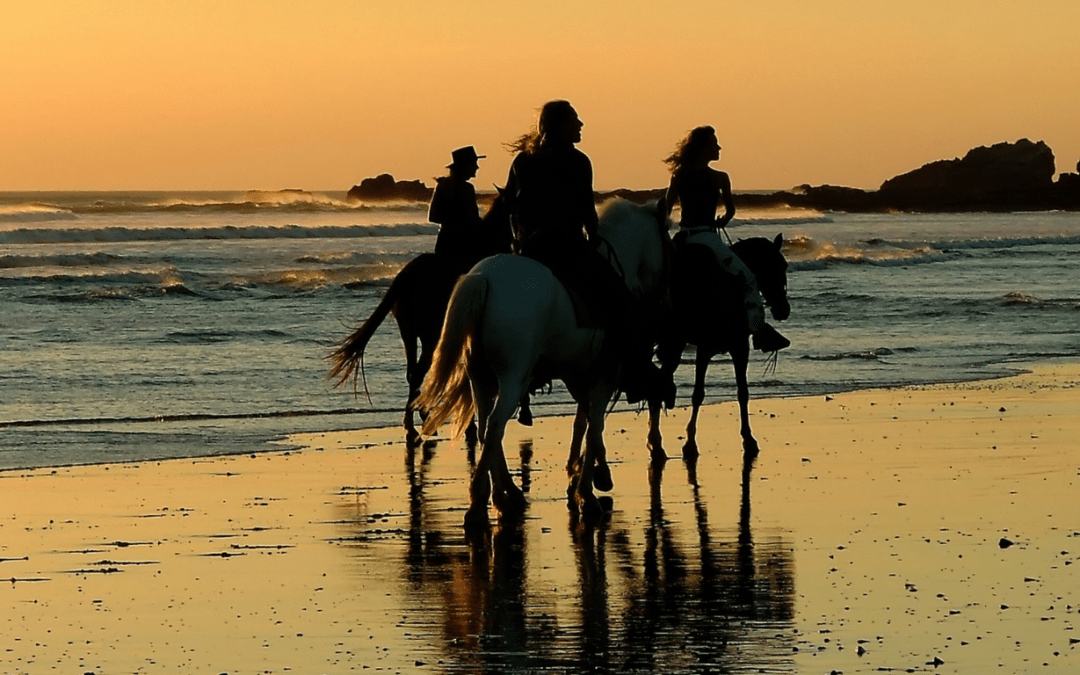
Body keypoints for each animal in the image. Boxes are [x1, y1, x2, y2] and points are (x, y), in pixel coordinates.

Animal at [412, 197, 665, 524]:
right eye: (667, 241)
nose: (662, 296)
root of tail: (484, 279)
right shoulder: (603, 376)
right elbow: (594, 426)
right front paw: (589, 490)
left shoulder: (578, 376)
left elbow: (583, 422)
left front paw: (585, 477)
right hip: (511, 376)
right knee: (495, 425)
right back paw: (482, 501)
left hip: (480, 377)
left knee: (485, 428)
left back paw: (503, 493)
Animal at [643, 234, 790, 460]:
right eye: (778, 265)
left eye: (784, 266)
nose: (783, 309)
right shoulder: (711, 348)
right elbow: (698, 394)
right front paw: (690, 443)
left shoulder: (738, 348)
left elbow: (742, 392)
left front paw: (748, 439)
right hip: (675, 344)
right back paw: (655, 444)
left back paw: (655, 443)